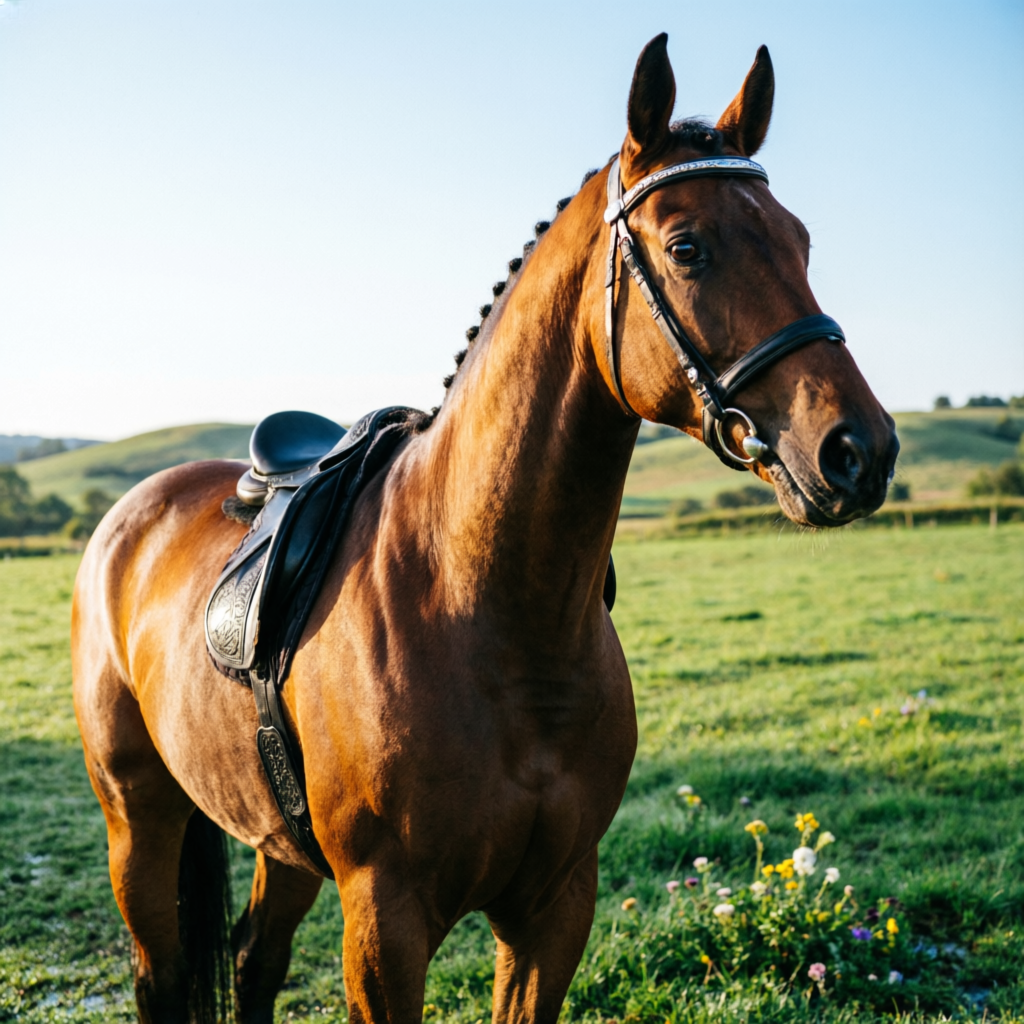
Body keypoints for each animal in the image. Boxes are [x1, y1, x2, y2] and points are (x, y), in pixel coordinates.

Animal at [71, 34, 898, 1024]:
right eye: (687, 247)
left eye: (801, 240)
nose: (859, 450)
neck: (486, 606)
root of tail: (129, 515)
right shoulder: (385, 926)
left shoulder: (554, 907)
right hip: (139, 821)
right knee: (161, 973)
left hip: (279, 844)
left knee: (253, 962)